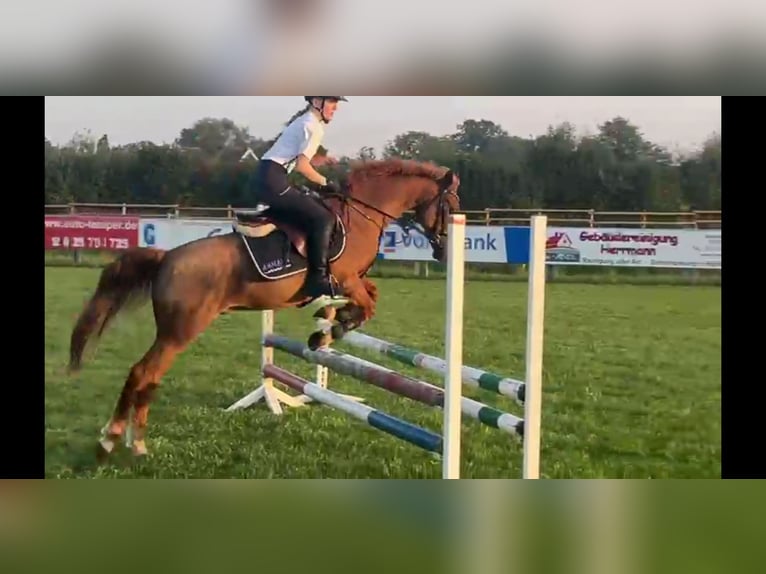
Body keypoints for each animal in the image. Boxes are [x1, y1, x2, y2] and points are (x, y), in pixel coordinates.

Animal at [67, 159, 462, 464]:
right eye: (450, 204)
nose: (444, 252)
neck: (362, 215)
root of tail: (166, 257)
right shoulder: (347, 279)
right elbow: (365, 306)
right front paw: (329, 330)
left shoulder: (354, 282)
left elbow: (369, 299)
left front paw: (324, 330)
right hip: (181, 330)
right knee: (142, 373)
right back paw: (111, 441)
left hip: (175, 332)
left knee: (148, 378)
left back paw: (134, 444)